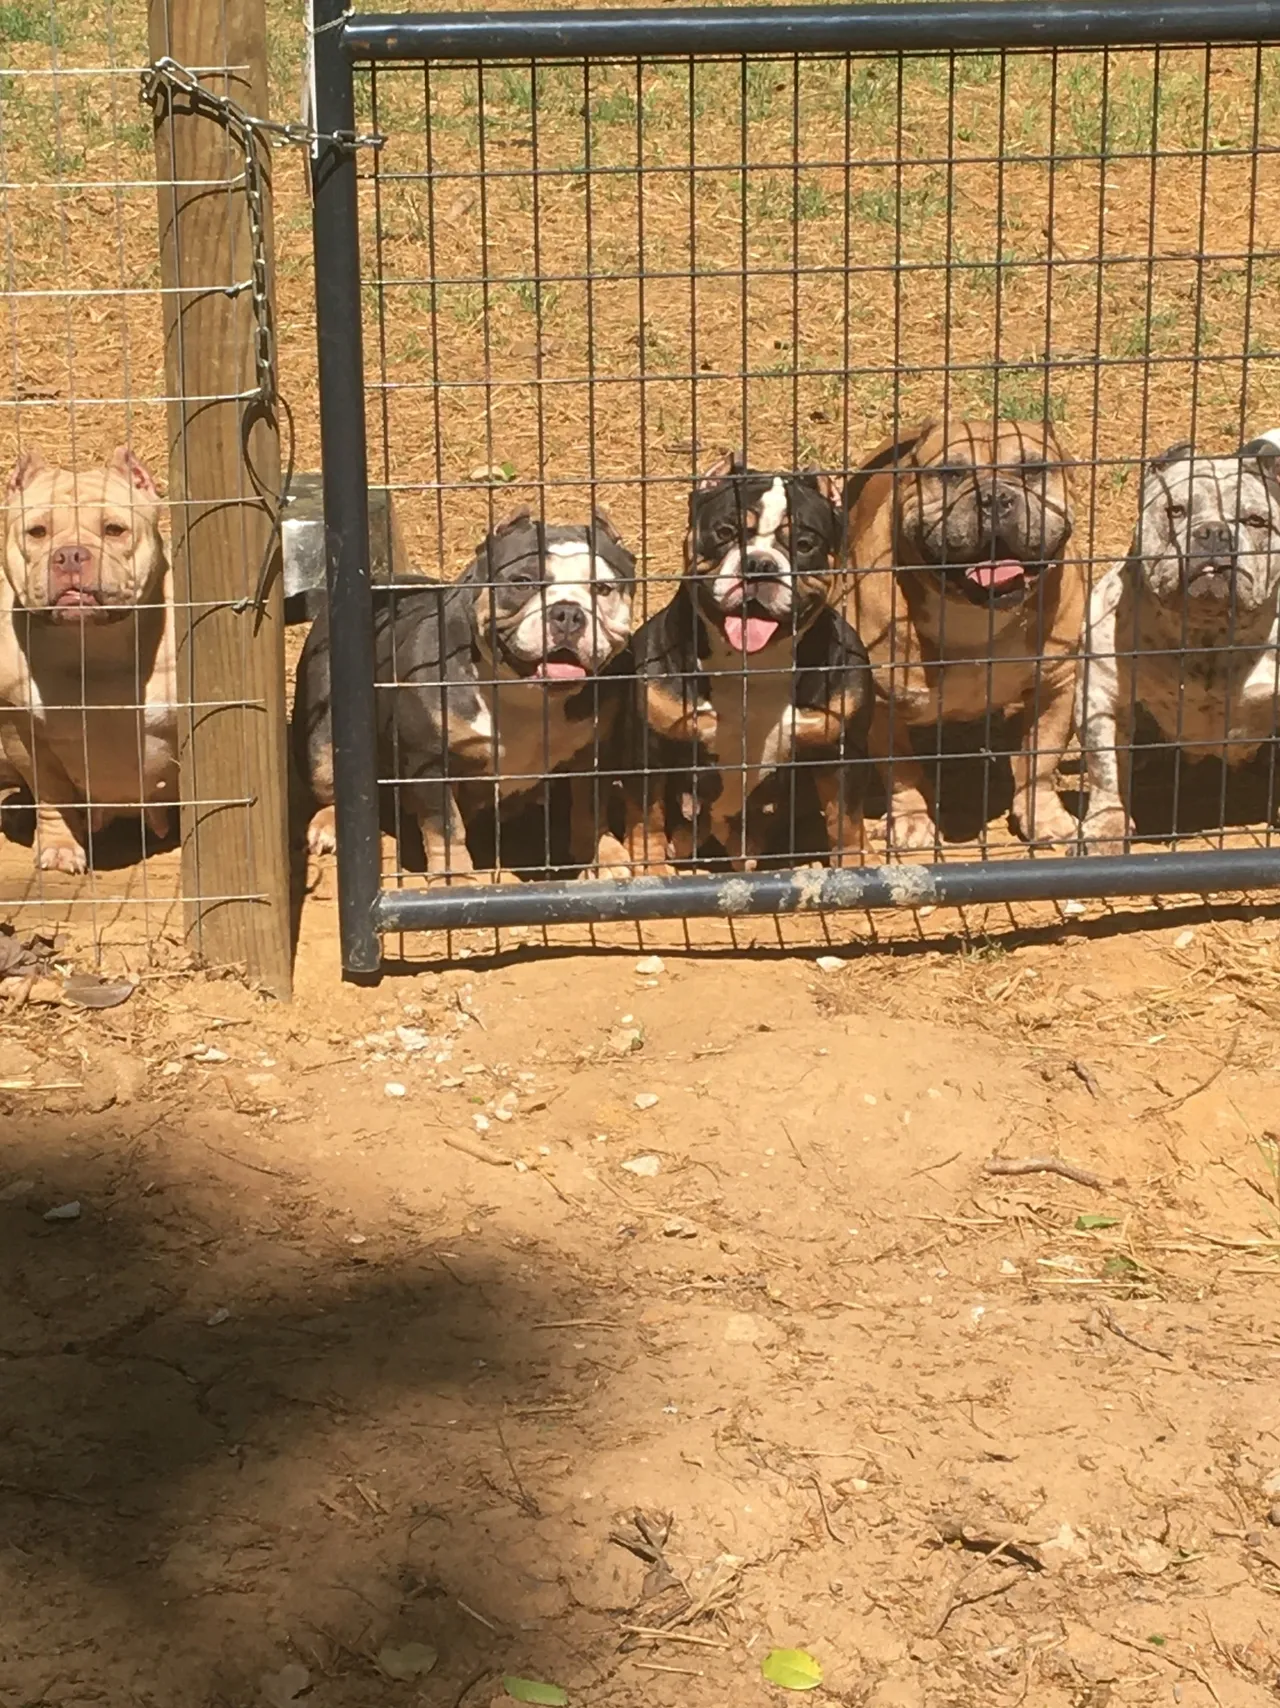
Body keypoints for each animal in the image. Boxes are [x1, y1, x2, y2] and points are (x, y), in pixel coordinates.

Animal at [0, 447, 176, 874]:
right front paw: (60, 846)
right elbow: (53, 795)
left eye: (114, 529)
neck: (91, 643)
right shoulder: (23, 735)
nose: (70, 554)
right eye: (37, 532)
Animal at [293, 508, 635, 874]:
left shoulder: (594, 750)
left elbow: (589, 809)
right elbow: (445, 829)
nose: (568, 612)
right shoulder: (430, 762)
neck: (523, 694)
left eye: (603, 588)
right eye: (522, 582)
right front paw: (454, 875)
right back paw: (329, 824)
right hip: (322, 735)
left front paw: (603, 856)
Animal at [618, 454, 868, 867]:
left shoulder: (839, 752)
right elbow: (647, 815)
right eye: (725, 532)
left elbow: (846, 820)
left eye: (804, 544)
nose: (760, 564)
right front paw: (646, 863)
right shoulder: (650, 747)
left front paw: (852, 865)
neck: (752, 665)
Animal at [847, 420, 1080, 847]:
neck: (973, 611)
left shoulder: (1057, 685)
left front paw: (1044, 816)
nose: (994, 497)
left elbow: (1041, 757)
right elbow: (901, 769)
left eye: (1034, 469)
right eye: (950, 473)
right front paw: (912, 821)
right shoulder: (883, 705)